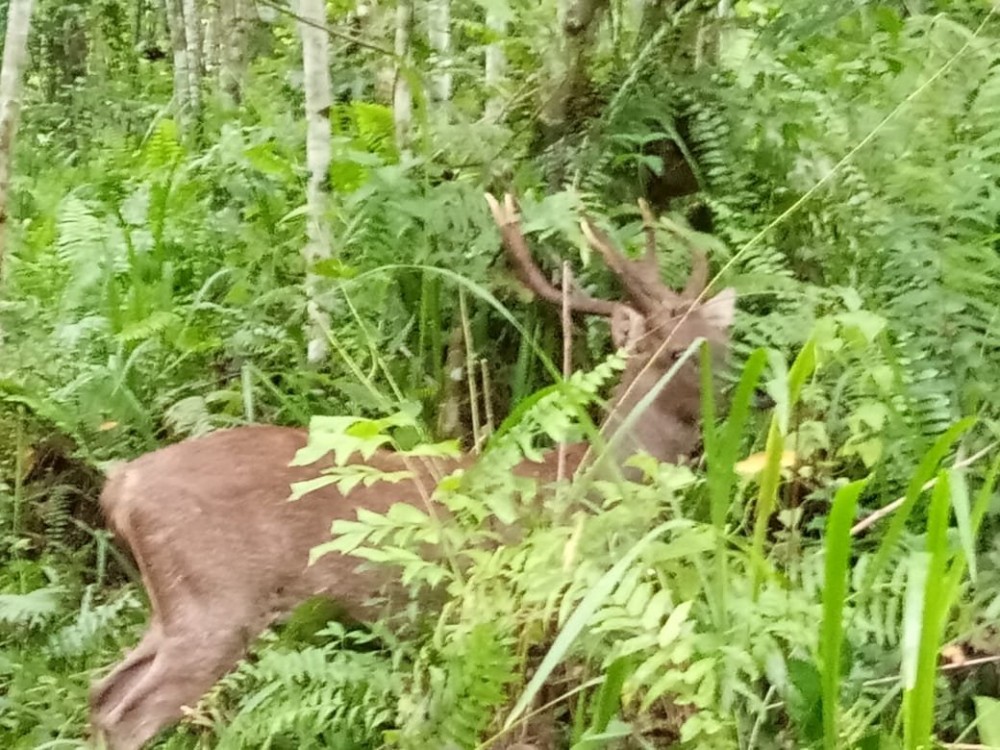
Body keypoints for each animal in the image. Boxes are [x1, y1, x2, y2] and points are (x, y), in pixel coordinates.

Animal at [90, 191, 740, 748]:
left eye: (721, 339)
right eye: (675, 349)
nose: (747, 392)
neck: (594, 482)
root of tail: (121, 487)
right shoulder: (523, 606)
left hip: (172, 603)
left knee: (102, 691)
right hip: (216, 600)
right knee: (128, 715)